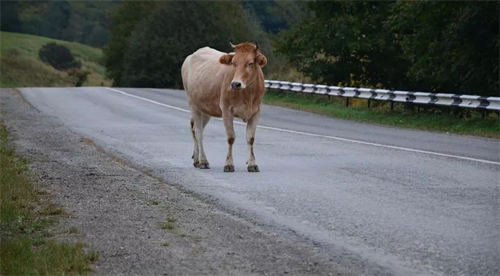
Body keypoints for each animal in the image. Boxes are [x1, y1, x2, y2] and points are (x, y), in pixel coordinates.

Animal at [182, 41, 268, 172]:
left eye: (250, 63)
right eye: (233, 63)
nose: (235, 84)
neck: (247, 95)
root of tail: (192, 55)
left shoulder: (256, 112)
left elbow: (250, 139)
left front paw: (252, 164)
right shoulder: (226, 110)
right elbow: (231, 137)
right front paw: (229, 164)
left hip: (205, 109)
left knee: (196, 130)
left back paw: (196, 160)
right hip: (193, 105)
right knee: (198, 133)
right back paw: (203, 161)